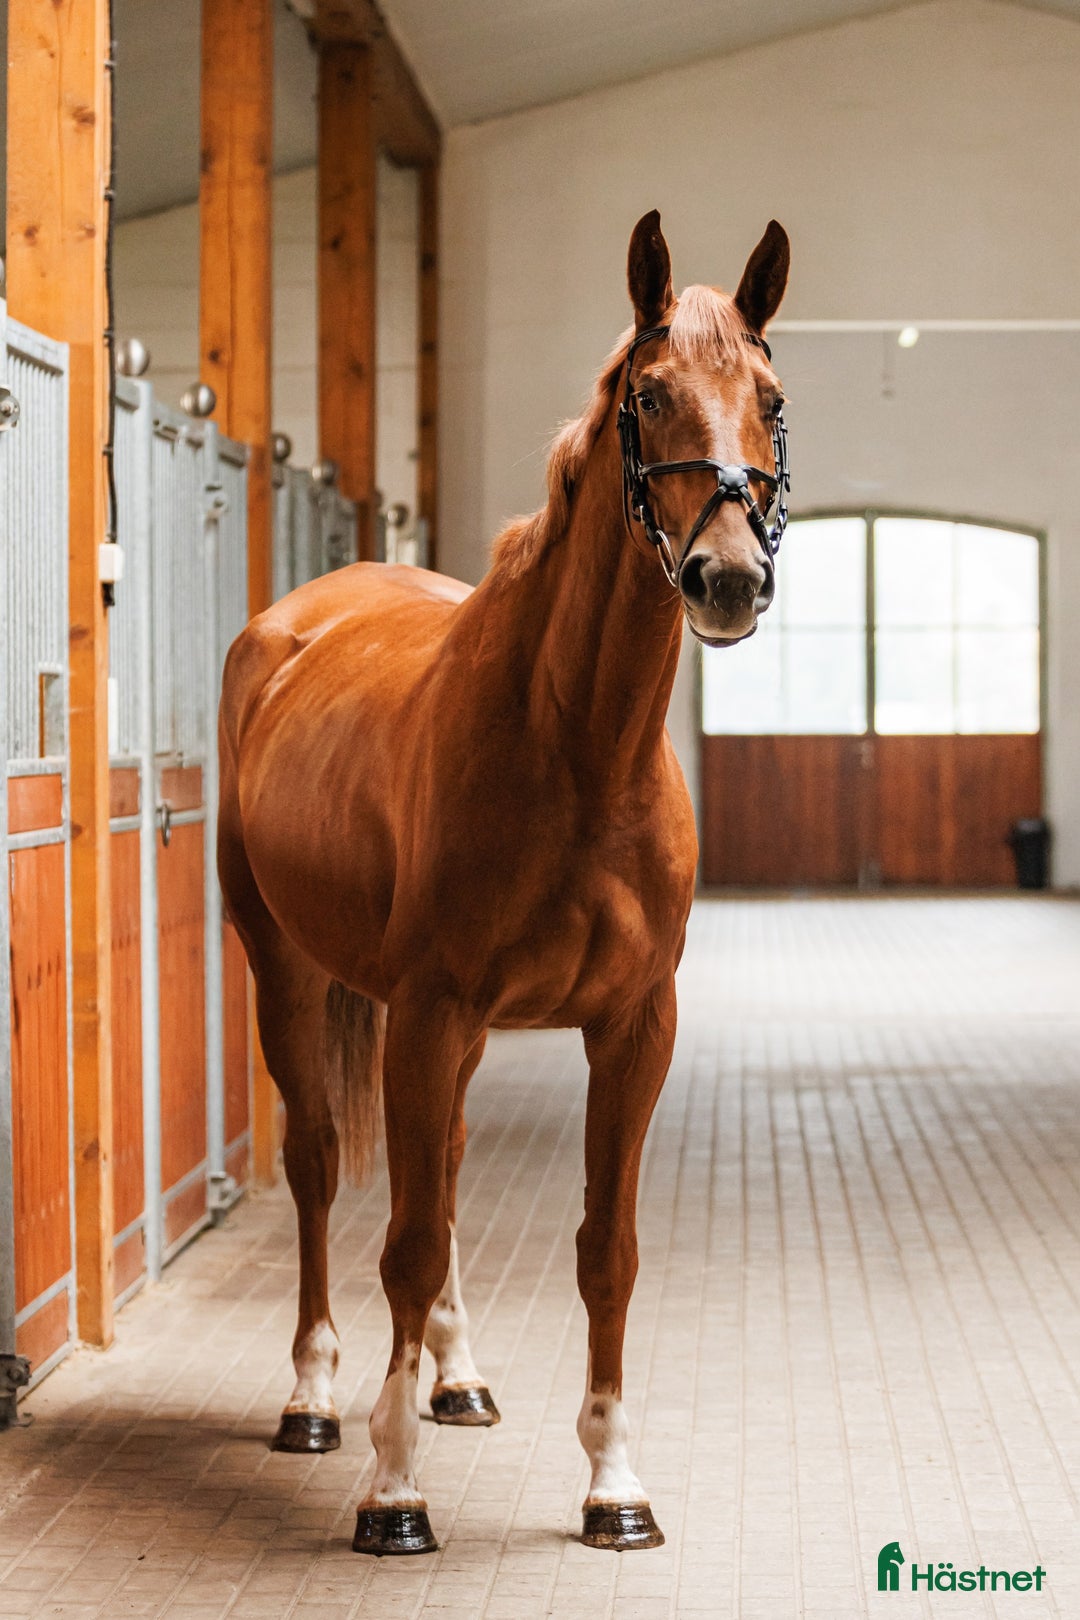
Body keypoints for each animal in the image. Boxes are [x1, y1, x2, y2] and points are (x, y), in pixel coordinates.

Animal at [217, 209, 790, 1556]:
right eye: (651, 394)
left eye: (773, 402)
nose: (730, 579)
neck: (574, 749)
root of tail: (291, 626)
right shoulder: (427, 1014)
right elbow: (406, 1239)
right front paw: (392, 1490)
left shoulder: (631, 1025)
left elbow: (603, 1248)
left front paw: (616, 1483)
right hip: (287, 970)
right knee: (320, 1163)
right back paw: (314, 1397)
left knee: (449, 1159)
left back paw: (459, 1377)